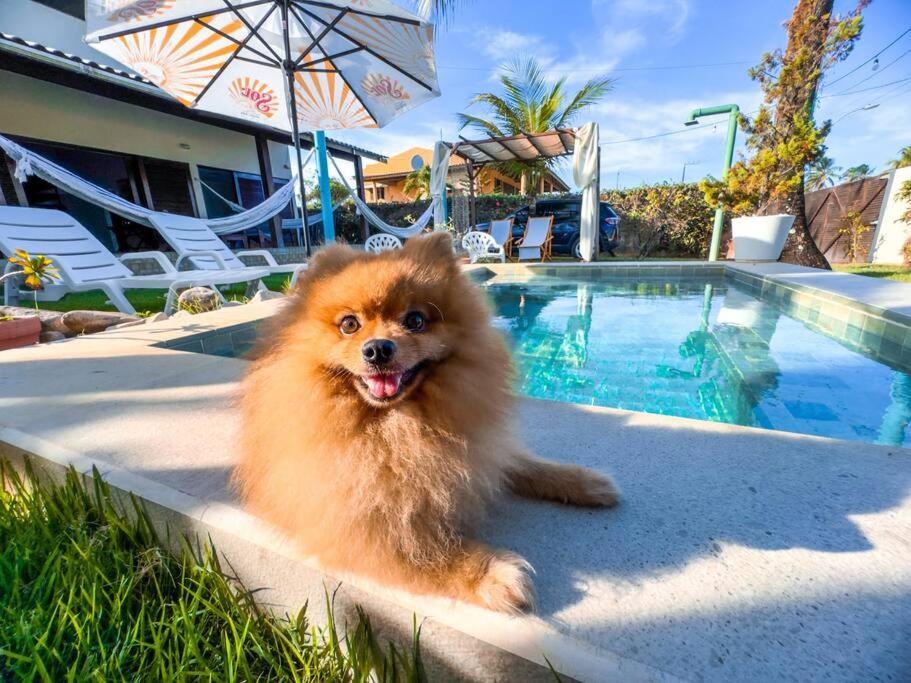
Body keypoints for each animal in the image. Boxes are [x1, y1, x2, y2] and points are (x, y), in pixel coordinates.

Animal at [235, 232, 620, 612]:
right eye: (349, 325)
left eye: (415, 321)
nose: (378, 349)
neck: (401, 425)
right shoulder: (359, 524)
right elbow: (428, 551)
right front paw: (491, 572)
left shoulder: (481, 448)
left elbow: (525, 464)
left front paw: (584, 481)